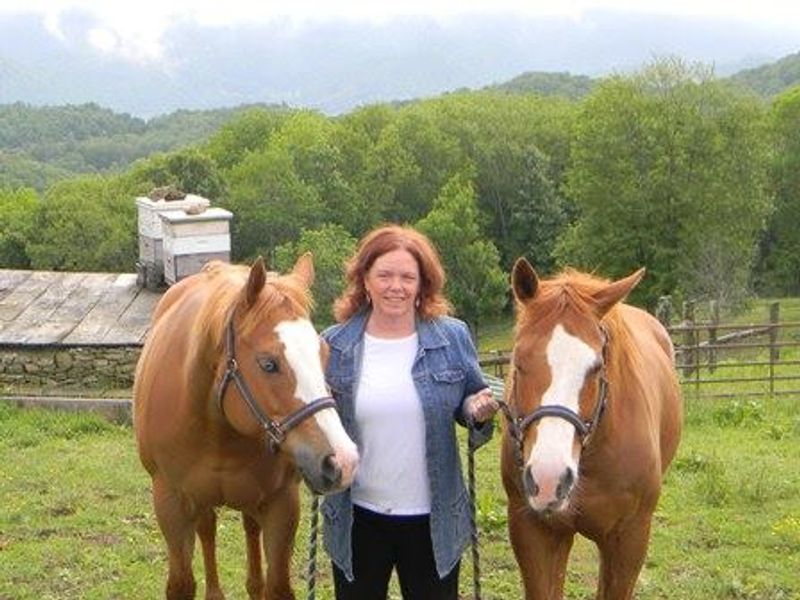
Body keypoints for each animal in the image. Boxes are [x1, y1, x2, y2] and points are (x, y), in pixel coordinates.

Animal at [133, 254, 359, 600]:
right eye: (268, 363)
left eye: (324, 354)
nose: (342, 461)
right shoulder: (171, 505)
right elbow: (182, 584)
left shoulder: (282, 504)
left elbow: (276, 586)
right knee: (208, 528)